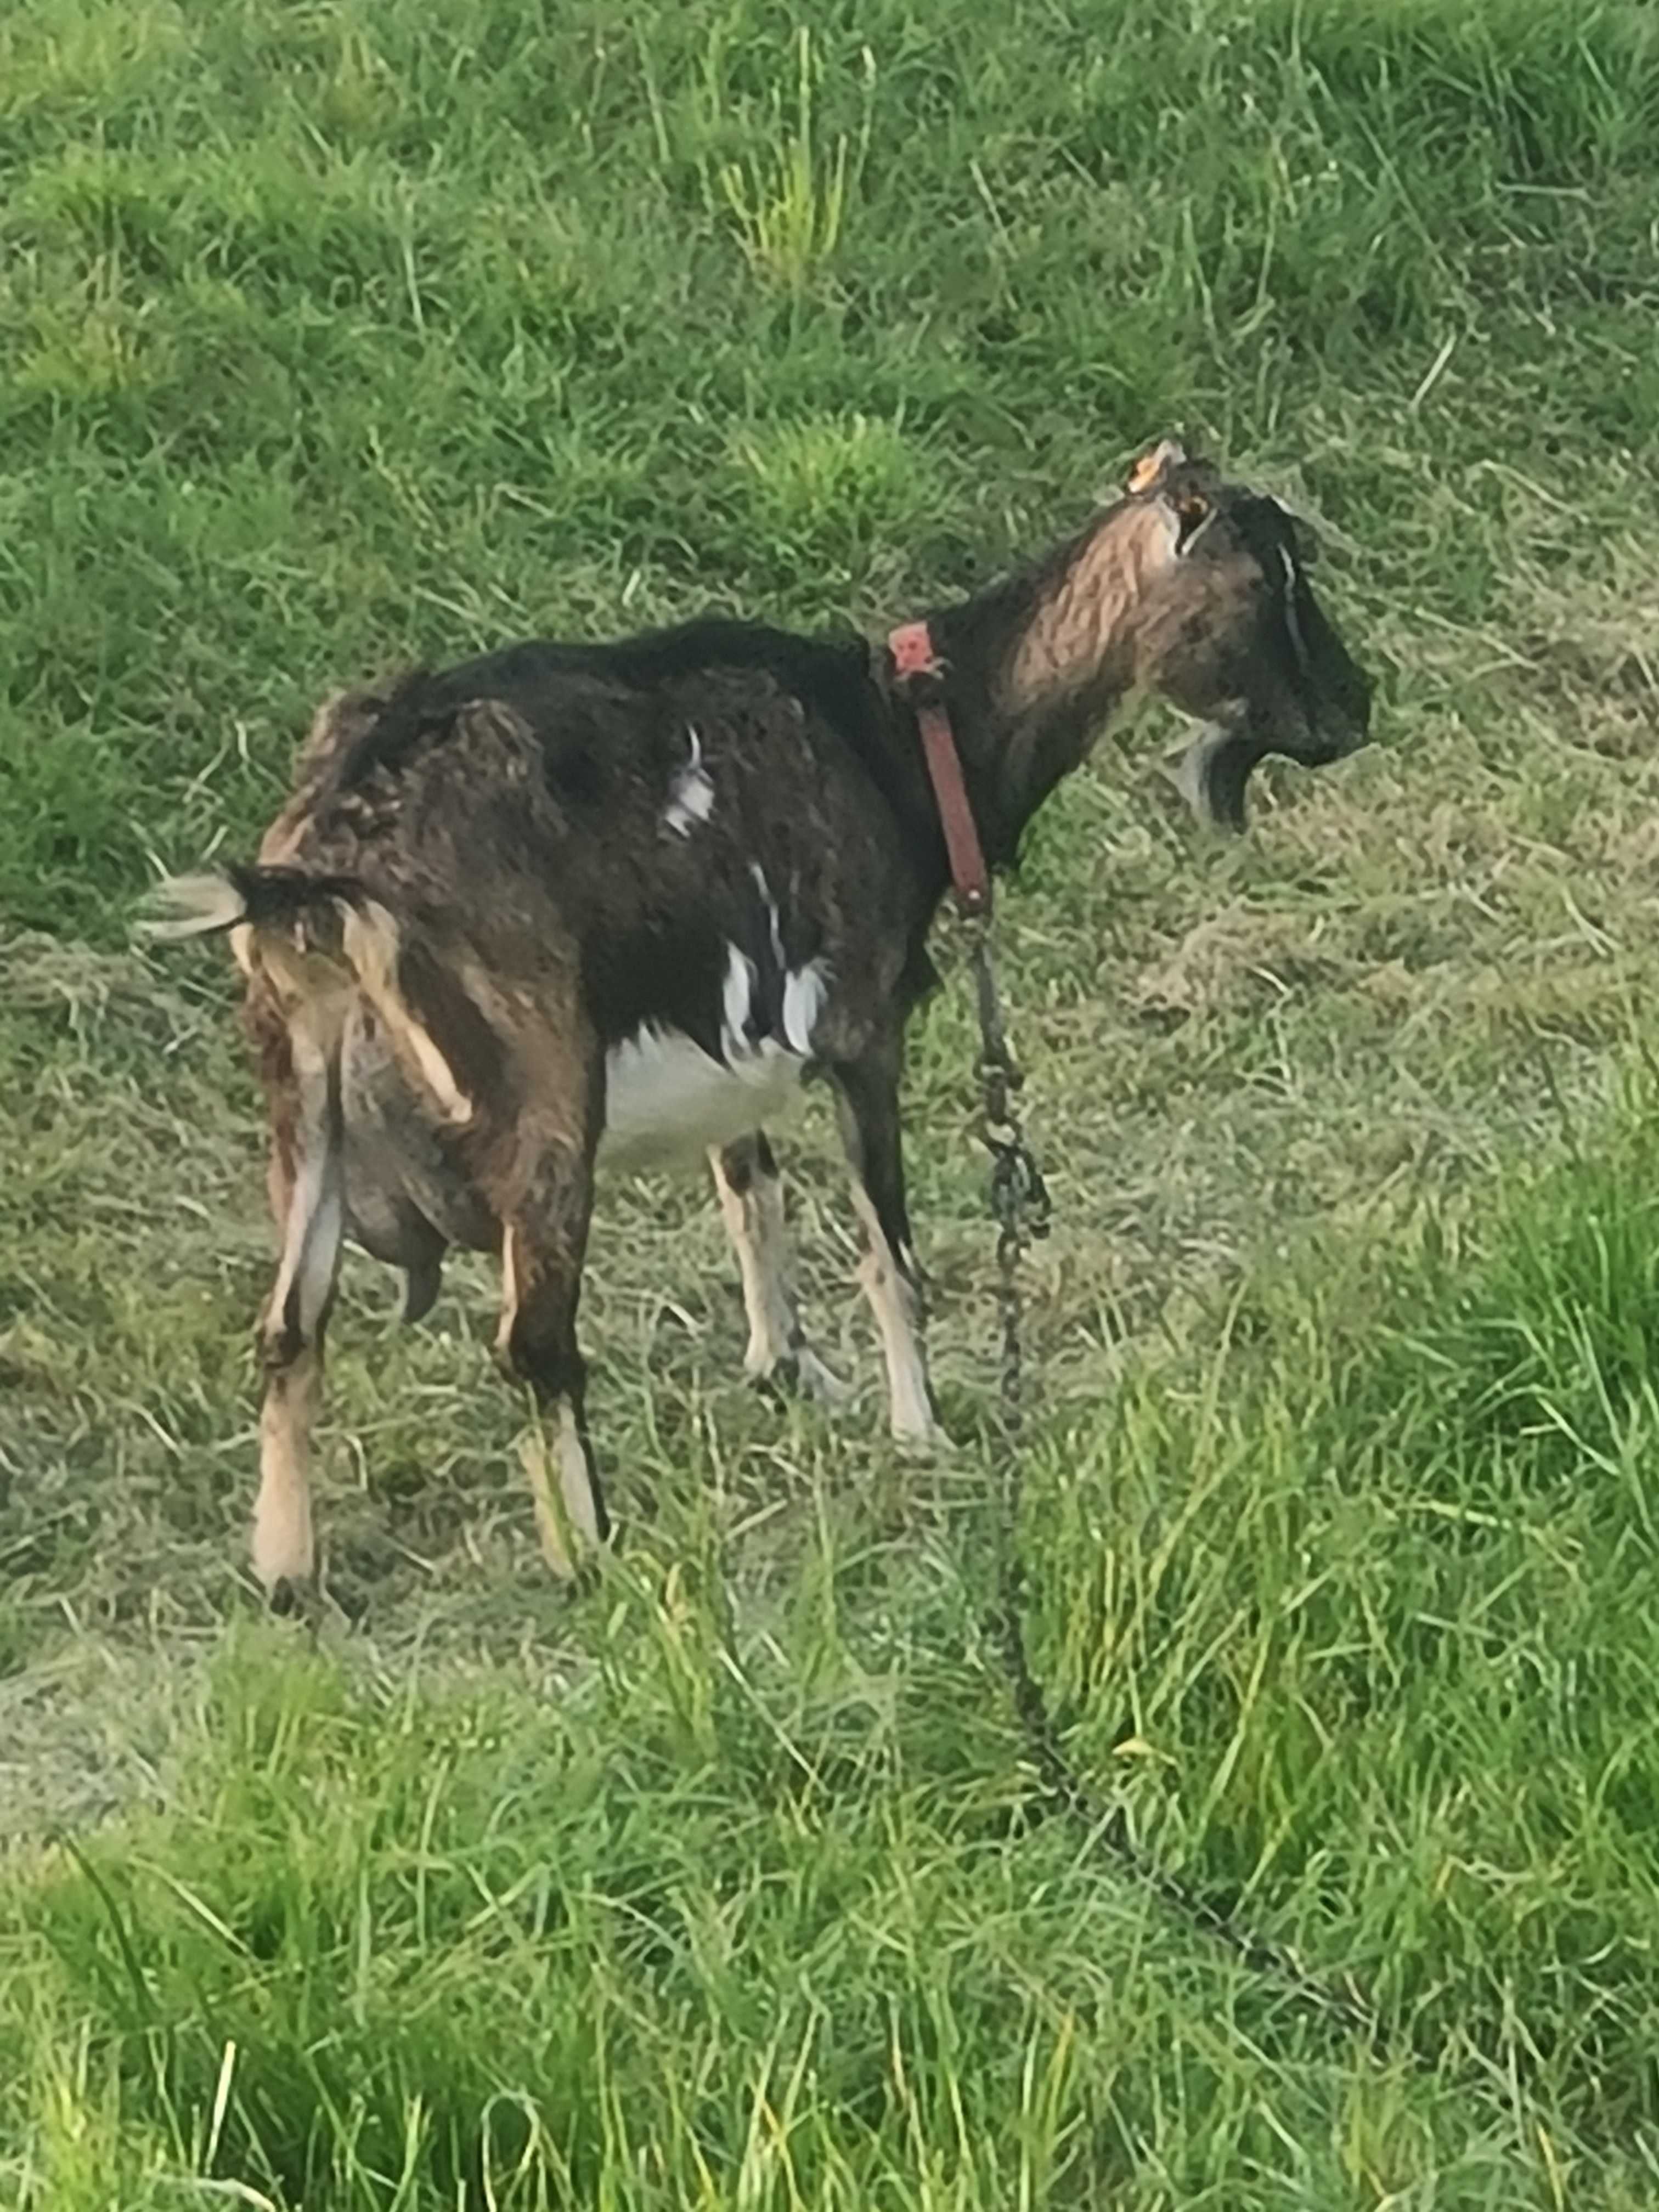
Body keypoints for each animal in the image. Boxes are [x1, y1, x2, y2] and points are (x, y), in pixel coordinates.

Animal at [146, 436, 1380, 1610]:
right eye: (1269, 580)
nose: (1359, 703)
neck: (903, 738)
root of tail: (323, 862)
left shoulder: (731, 1039)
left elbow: (751, 1193)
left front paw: (788, 1370)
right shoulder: (862, 1030)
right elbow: (889, 1248)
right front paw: (919, 1430)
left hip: (302, 1089)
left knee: (289, 1326)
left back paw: (287, 1573)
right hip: (539, 1089)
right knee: (534, 1342)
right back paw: (589, 1555)